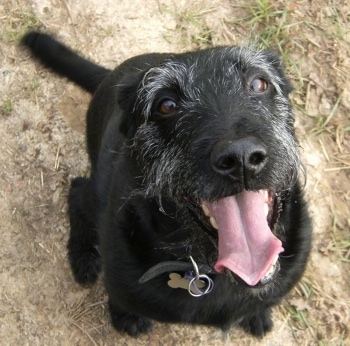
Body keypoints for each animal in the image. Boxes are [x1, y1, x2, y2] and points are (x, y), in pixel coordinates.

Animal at [21, 31, 312, 338]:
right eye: (166, 105)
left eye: (259, 83)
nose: (241, 157)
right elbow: (121, 299)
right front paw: (126, 317)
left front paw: (257, 313)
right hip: (95, 188)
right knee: (77, 190)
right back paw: (84, 257)